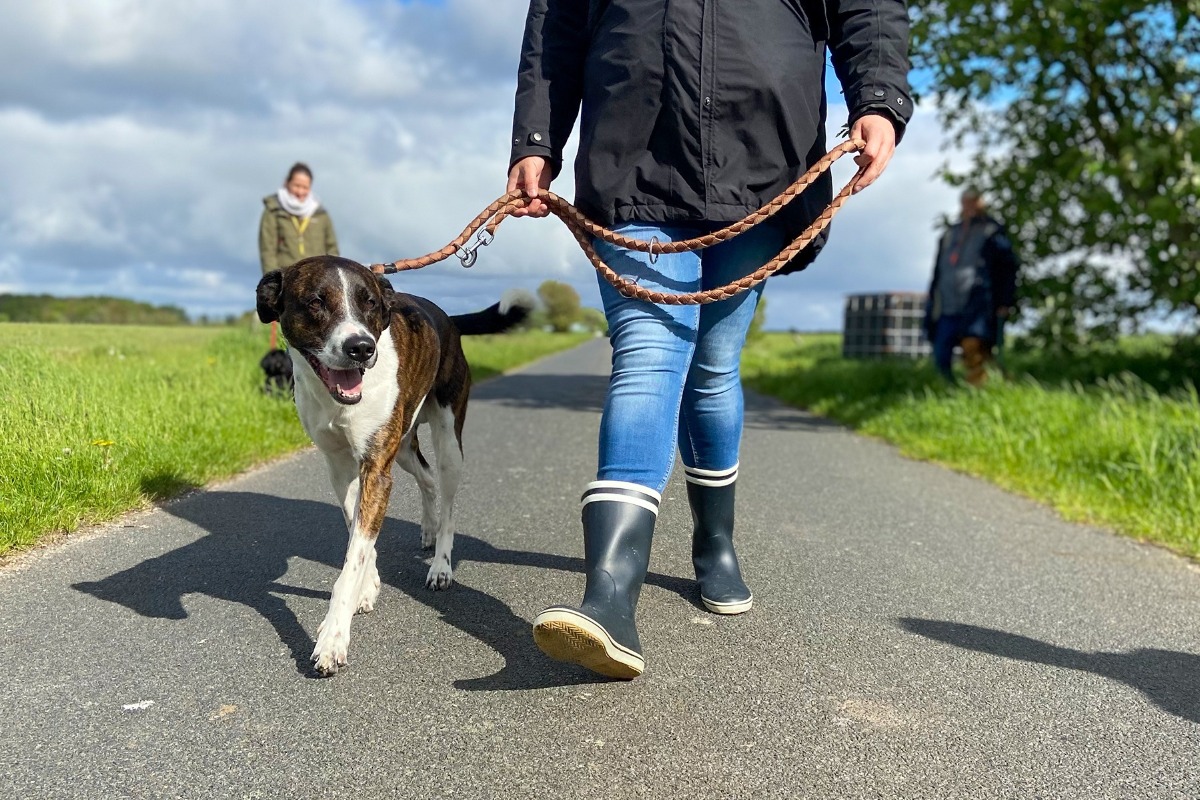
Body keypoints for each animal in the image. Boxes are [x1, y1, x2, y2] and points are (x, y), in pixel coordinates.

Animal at [256, 256, 530, 676]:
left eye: (369, 302)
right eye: (316, 302)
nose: (361, 348)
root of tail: (447, 317)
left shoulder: (376, 469)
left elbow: (353, 557)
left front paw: (333, 638)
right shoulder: (342, 469)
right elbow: (357, 534)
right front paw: (366, 587)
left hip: (448, 441)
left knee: (448, 501)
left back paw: (441, 564)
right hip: (402, 446)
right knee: (427, 479)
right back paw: (428, 530)